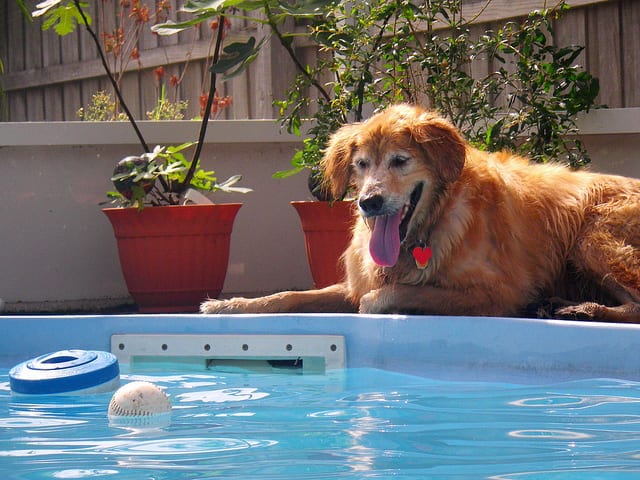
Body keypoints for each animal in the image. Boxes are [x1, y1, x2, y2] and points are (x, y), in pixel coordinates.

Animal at [202, 104, 640, 322]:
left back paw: (584, 309)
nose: (369, 202)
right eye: (361, 164)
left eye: (400, 161)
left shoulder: (496, 292)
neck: (429, 226)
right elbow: (288, 296)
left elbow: (391, 293)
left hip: (594, 239)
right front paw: (230, 305)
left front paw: (386, 302)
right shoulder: (355, 282)